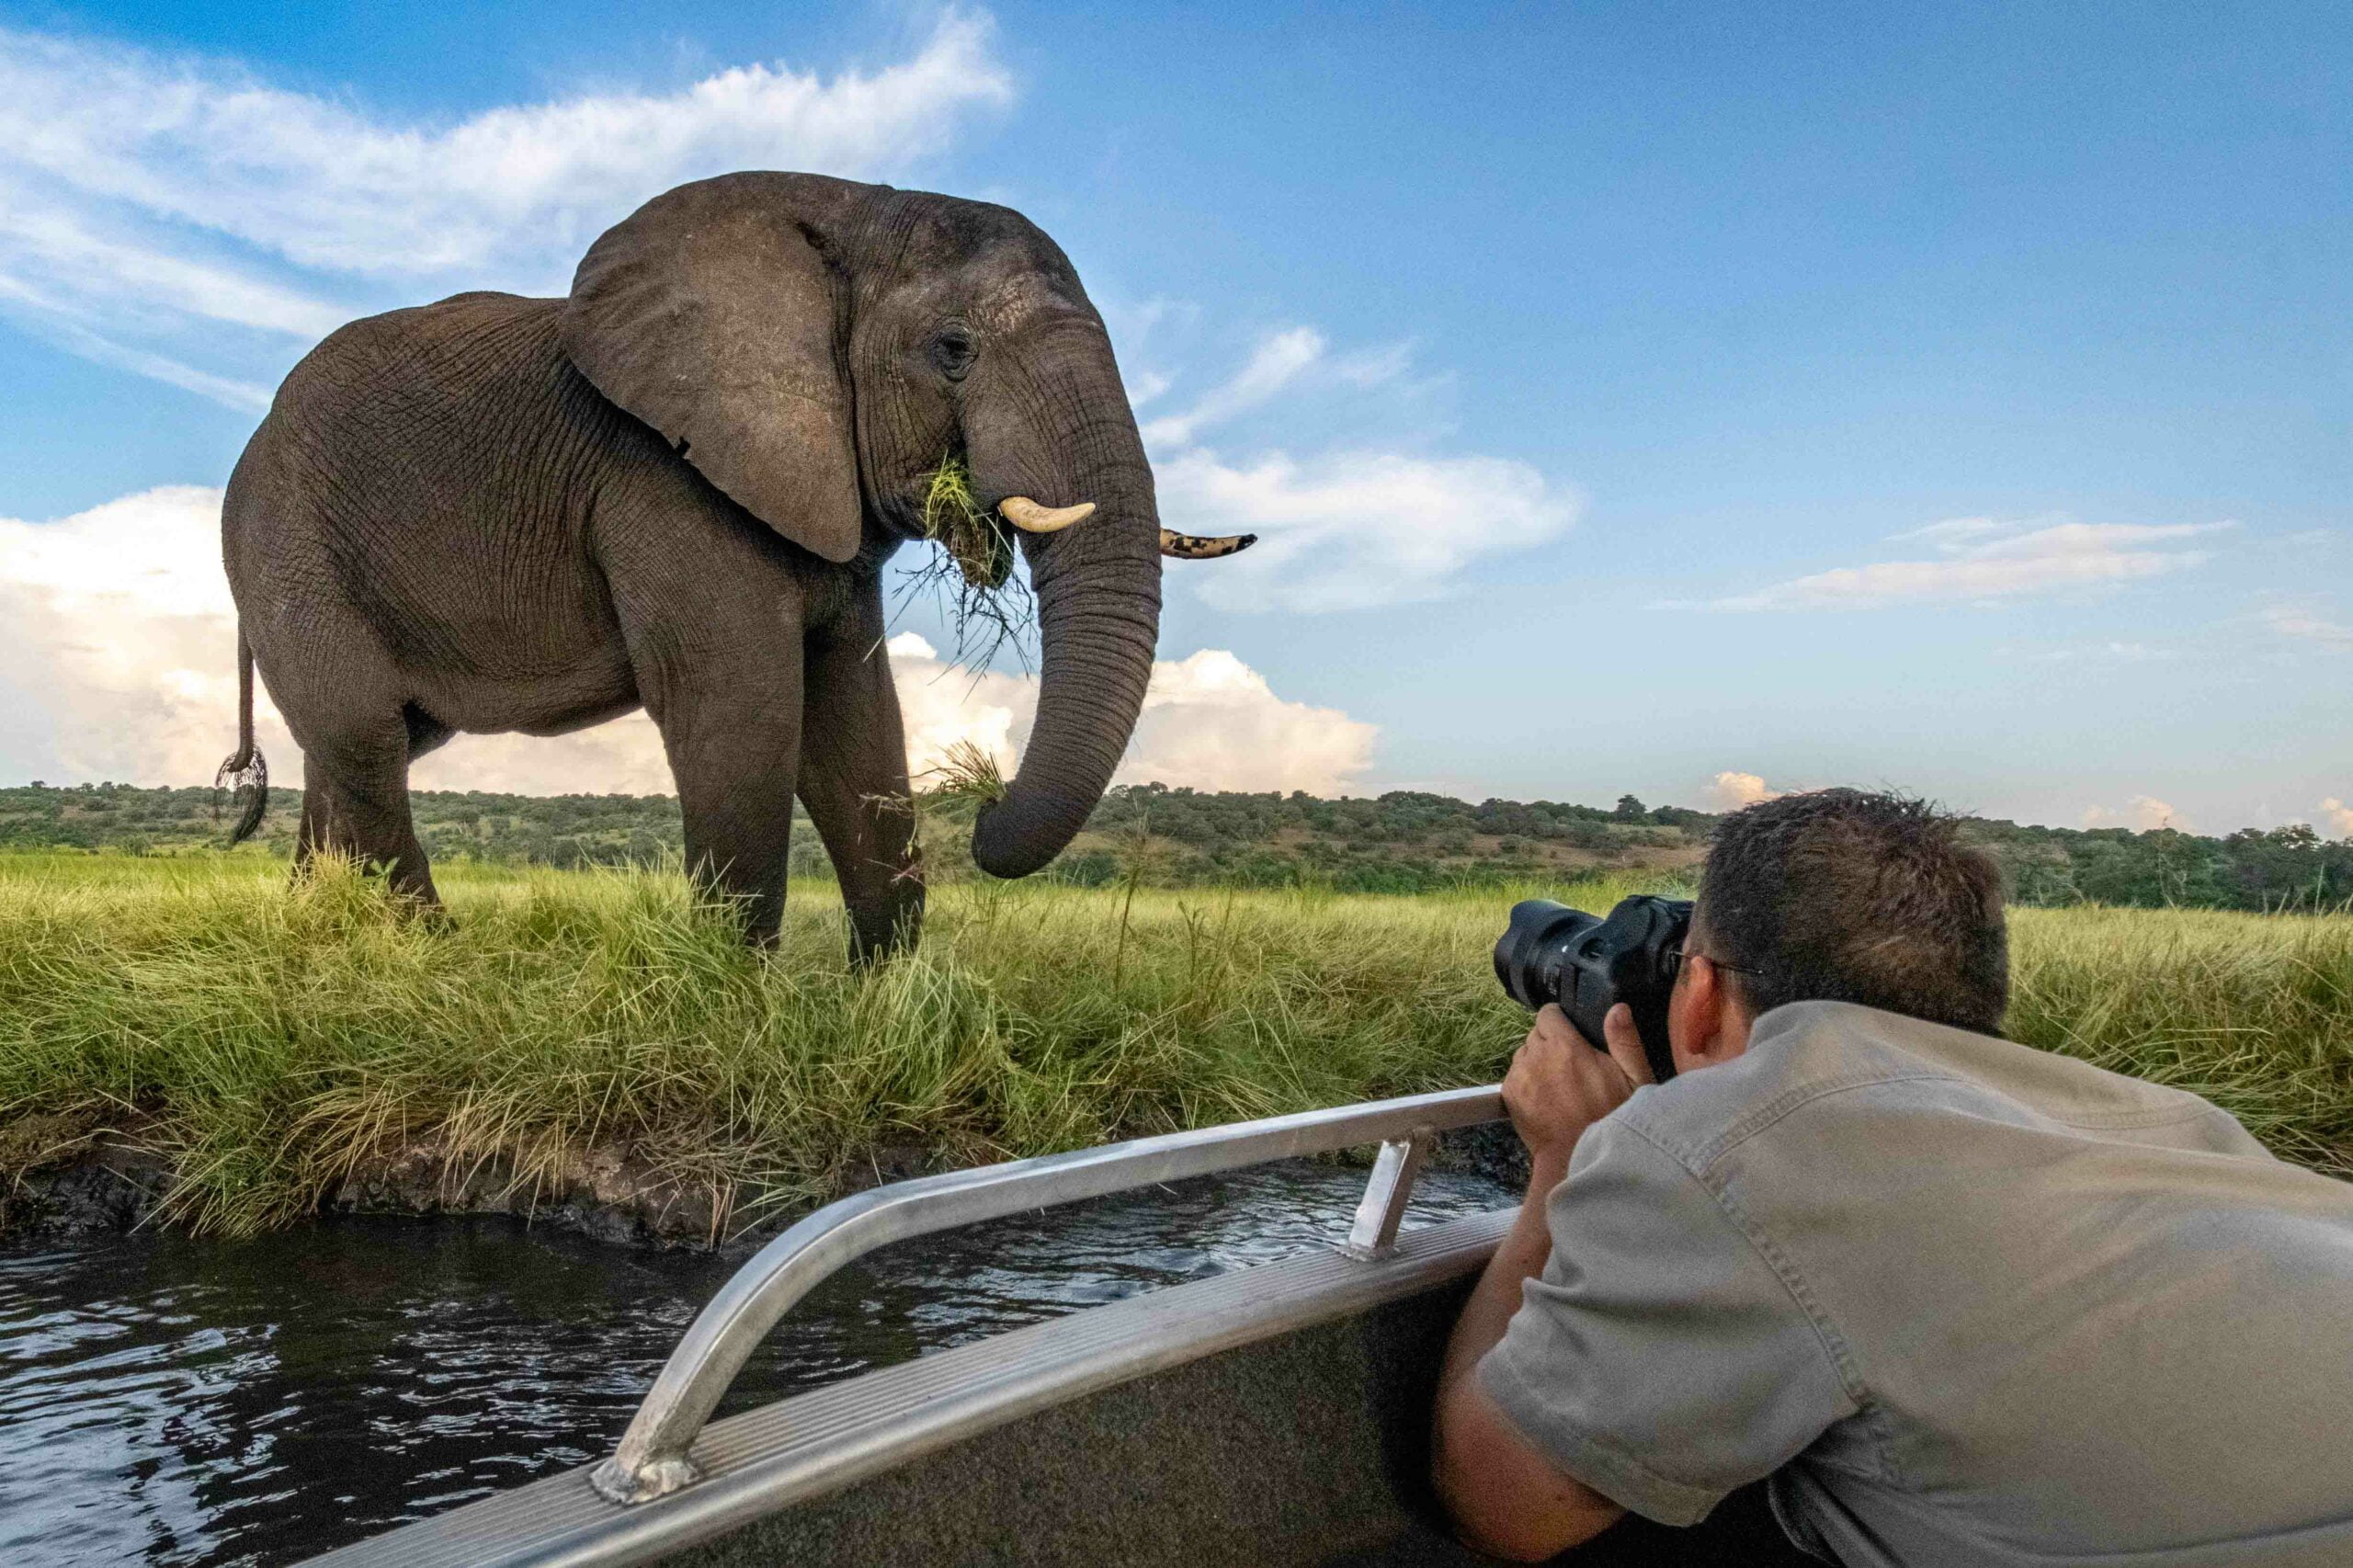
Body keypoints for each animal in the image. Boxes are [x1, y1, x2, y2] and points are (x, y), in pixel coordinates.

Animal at [214, 171, 1254, 955]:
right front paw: (733, 1001)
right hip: (285, 542)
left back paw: (318, 945)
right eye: (953, 350)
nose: (986, 802)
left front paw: (885, 998)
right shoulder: (663, 480)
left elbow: (854, 717)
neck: (847, 215)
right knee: (361, 730)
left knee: (362, 745)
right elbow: (741, 707)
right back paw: (434, 957)